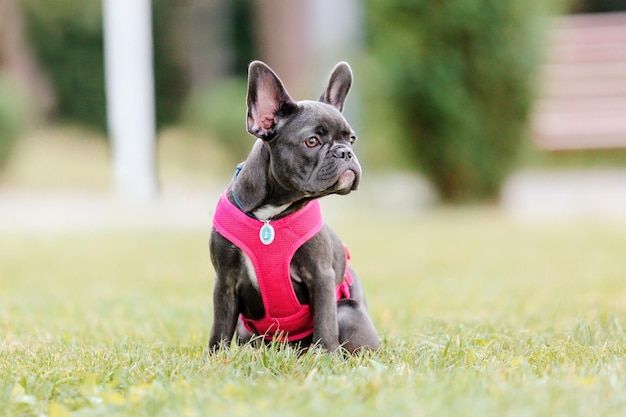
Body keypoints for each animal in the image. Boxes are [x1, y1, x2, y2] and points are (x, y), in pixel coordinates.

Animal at [207, 61, 378, 354]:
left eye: (352, 139)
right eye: (312, 141)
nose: (345, 152)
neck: (270, 217)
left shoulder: (320, 276)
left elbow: (325, 323)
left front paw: (326, 356)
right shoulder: (225, 281)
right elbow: (220, 328)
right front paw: (216, 357)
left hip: (347, 311)